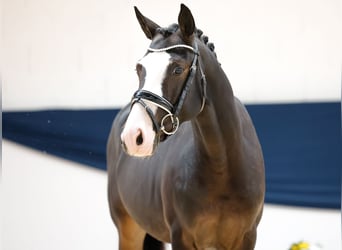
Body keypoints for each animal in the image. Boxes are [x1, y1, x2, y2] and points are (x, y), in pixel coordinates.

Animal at [107, 4, 264, 250]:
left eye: (178, 69)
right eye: (139, 68)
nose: (134, 136)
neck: (223, 166)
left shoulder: (247, 237)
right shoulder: (181, 237)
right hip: (128, 229)